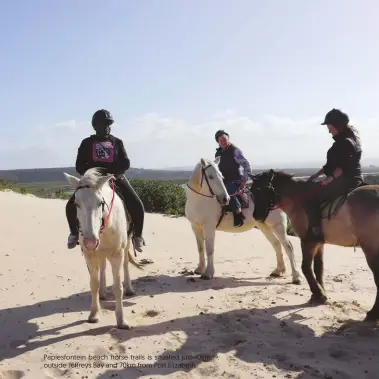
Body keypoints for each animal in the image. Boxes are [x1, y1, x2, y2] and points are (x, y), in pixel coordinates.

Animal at [64, 167, 144, 330]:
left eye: (100, 202)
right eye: (76, 203)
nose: (90, 241)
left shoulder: (117, 254)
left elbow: (118, 288)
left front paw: (121, 320)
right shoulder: (89, 255)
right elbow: (93, 284)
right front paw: (94, 314)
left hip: (126, 245)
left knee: (126, 265)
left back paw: (129, 289)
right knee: (102, 266)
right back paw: (102, 293)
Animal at [248, 171, 379, 322]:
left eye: (266, 190)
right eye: (252, 192)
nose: (257, 216)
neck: (298, 201)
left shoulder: (307, 241)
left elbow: (306, 267)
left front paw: (318, 294)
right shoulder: (318, 243)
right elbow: (318, 268)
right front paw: (320, 293)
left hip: (370, 248)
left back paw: (373, 313)